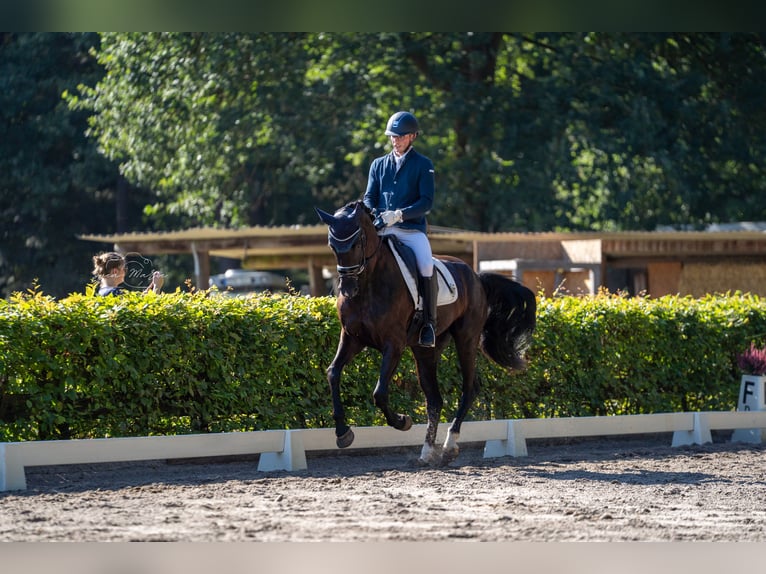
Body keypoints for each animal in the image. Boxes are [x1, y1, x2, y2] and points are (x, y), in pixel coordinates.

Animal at [315, 200, 536, 465]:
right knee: (434, 398)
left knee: (469, 388)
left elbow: (379, 392)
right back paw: (428, 451)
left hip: (466, 339)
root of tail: (476, 276)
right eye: (332, 245)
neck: (368, 284)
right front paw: (343, 433)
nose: (348, 289)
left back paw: (449, 445)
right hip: (425, 349)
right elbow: (333, 373)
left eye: (357, 243)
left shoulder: (394, 344)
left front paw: (402, 421)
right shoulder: (352, 338)